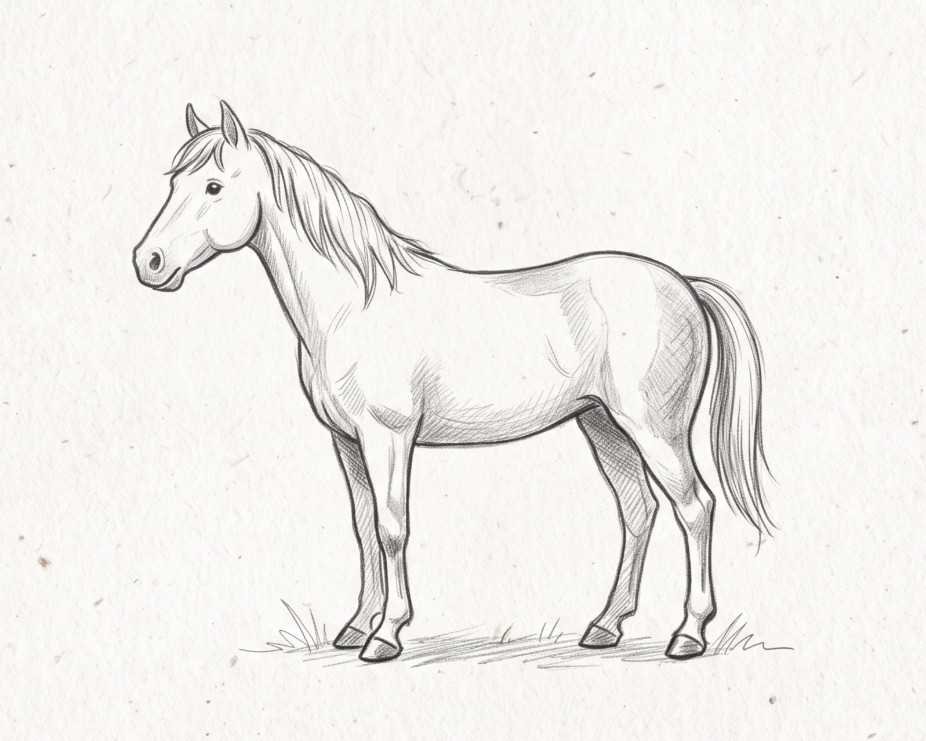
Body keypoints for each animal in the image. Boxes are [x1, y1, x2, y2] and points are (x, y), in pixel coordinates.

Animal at [132, 101, 774, 663]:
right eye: (174, 182)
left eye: (214, 187)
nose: (149, 263)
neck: (355, 307)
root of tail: (683, 284)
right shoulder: (347, 442)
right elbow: (363, 528)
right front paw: (355, 626)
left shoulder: (387, 436)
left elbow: (392, 527)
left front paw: (385, 636)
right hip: (602, 425)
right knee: (638, 511)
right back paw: (604, 627)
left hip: (653, 429)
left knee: (695, 508)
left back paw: (688, 635)